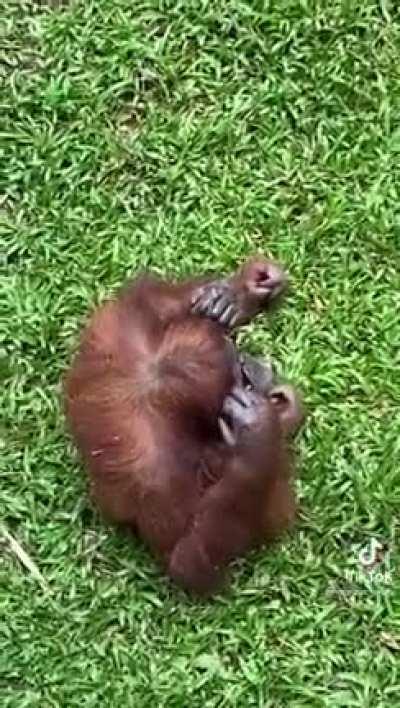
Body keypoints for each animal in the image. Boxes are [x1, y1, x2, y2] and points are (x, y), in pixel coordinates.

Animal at [65, 256, 304, 595]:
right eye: (242, 374)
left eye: (239, 355)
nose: (259, 367)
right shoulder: (161, 480)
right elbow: (187, 562)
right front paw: (259, 431)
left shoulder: (112, 339)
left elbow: (134, 301)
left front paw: (234, 294)